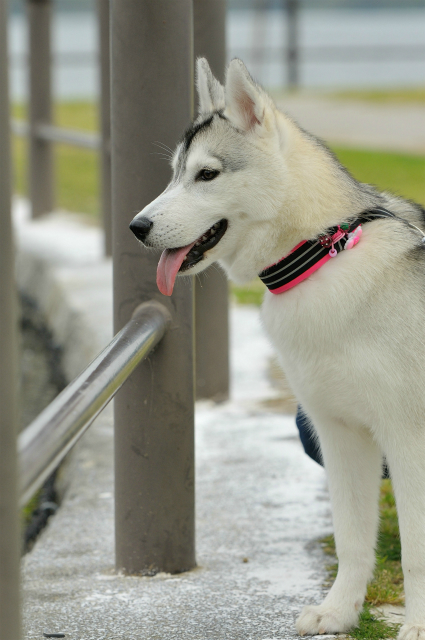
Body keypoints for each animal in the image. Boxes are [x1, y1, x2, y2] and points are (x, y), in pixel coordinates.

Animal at [131, 57, 424, 636]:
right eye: (176, 173)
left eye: (207, 175)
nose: (137, 226)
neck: (321, 253)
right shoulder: (340, 435)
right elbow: (352, 538)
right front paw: (339, 612)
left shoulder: (409, 440)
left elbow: (417, 552)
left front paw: (420, 625)